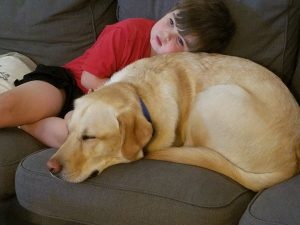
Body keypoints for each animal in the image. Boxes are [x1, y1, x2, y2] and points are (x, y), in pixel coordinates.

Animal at [48, 52, 298, 192]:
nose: (50, 168)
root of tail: (292, 162)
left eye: (89, 137)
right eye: (68, 132)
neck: (137, 90)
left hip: (211, 98)